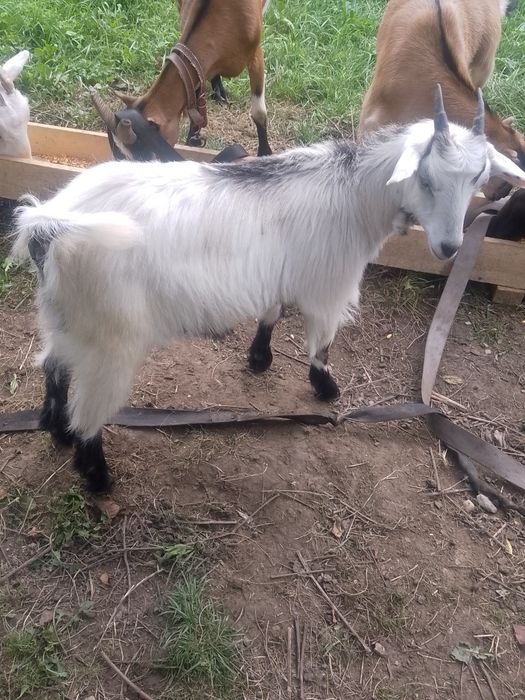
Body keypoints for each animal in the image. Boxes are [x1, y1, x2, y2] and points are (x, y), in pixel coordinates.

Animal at [12, 88, 525, 494]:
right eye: (426, 177)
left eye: (478, 178)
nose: (449, 247)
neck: (354, 194)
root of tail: (48, 224)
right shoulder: (329, 284)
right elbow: (322, 342)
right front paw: (325, 388)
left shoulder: (281, 269)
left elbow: (273, 310)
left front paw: (259, 358)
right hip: (111, 338)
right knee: (89, 410)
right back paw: (96, 476)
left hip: (66, 314)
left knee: (54, 368)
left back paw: (56, 430)